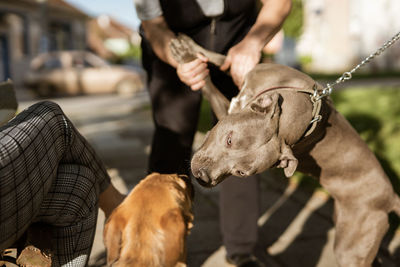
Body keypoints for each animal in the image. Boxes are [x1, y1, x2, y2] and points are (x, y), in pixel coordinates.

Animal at [170, 34, 400, 267]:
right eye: (229, 139)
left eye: (241, 173)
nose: (202, 176)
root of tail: (391, 197)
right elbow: (221, 58)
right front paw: (187, 48)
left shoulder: (226, 106)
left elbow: (208, 85)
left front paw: (186, 57)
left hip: (351, 247)